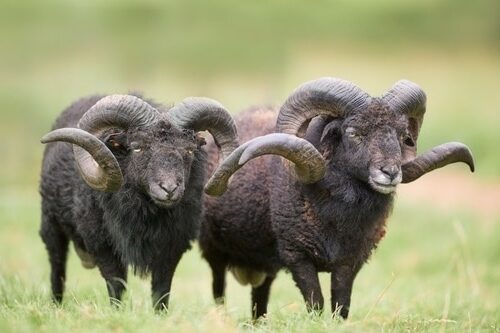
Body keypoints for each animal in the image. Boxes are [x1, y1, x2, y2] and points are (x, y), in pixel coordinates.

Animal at [39, 93, 238, 308]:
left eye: (190, 150)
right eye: (137, 148)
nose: (169, 189)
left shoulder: (171, 248)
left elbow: (161, 291)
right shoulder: (103, 247)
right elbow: (116, 285)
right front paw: (117, 312)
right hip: (51, 225)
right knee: (57, 268)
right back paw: (56, 304)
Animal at [199, 78, 472, 320]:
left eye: (402, 134)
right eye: (353, 132)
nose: (390, 173)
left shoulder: (349, 261)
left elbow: (341, 306)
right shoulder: (298, 256)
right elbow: (316, 304)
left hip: (263, 265)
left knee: (259, 297)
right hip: (214, 251)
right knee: (219, 291)